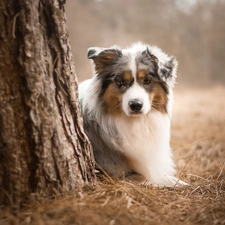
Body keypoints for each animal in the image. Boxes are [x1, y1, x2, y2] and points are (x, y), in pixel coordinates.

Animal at [79, 42, 186, 186]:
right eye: (121, 82)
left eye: (147, 81)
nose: (135, 105)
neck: (136, 121)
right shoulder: (112, 171)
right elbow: (147, 176)